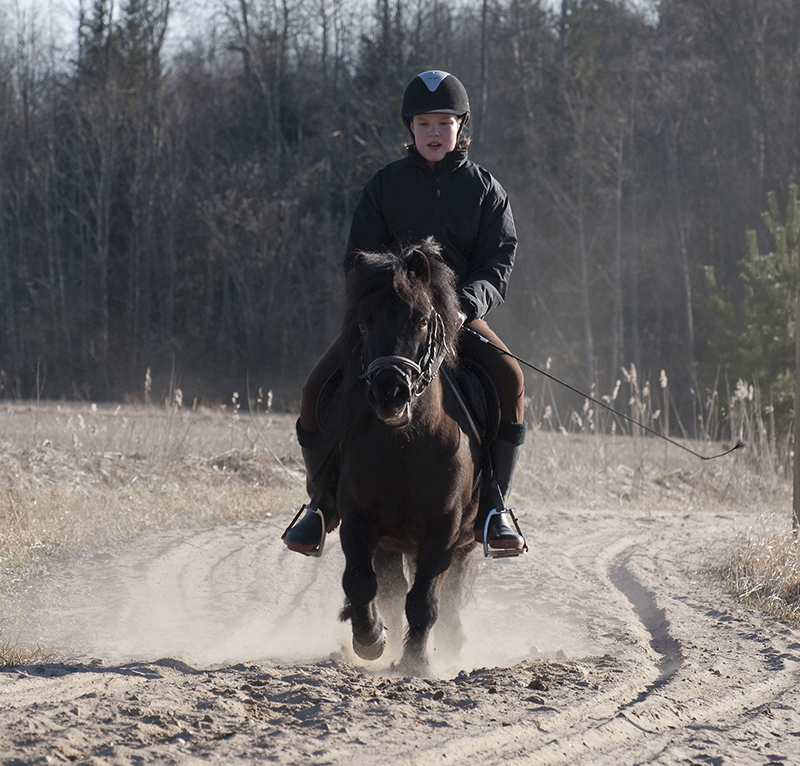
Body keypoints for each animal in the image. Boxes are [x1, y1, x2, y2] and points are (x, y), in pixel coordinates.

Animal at [326, 237, 482, 676]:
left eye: (423, 321)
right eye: (364, 323)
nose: (390, 391)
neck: (405, 448)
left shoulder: (443, 532)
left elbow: (424, 600)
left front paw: (416, 662)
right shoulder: (358, 521)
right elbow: (360, 582)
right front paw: (369, 639)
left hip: (461, 542)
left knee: (446, 595)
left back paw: (449, 643)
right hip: (390, 543)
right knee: (390, 591)